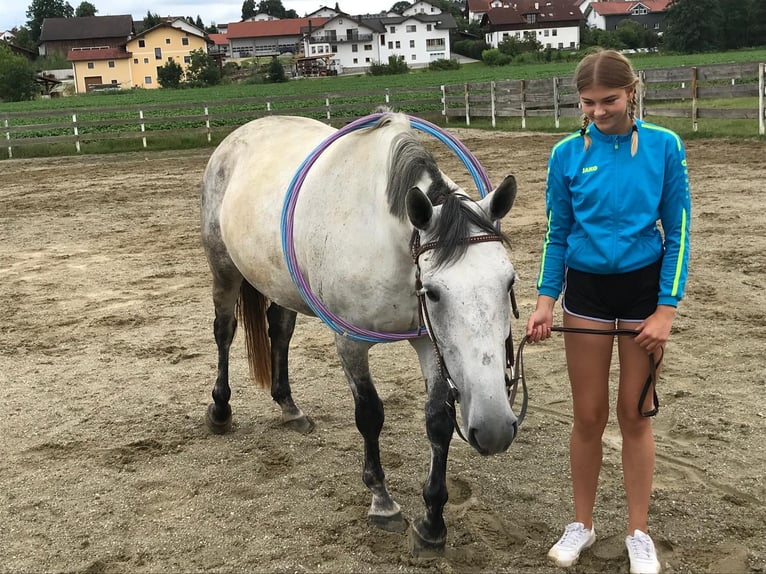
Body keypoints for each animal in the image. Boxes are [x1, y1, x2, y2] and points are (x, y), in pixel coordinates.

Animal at [200, 110, 520, 556]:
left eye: (508, 282)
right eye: (434, 292)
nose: (494, 429)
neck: (385, 239)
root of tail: (241, 134)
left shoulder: (428, 340)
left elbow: (438, 420)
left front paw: (432, 522)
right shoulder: (351, 342)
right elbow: (369, 415)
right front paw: (382, 502)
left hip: (279, 282)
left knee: (279, 331)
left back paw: (289, 406)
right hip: (224, 268)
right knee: (224, 332)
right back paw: (220, 410)